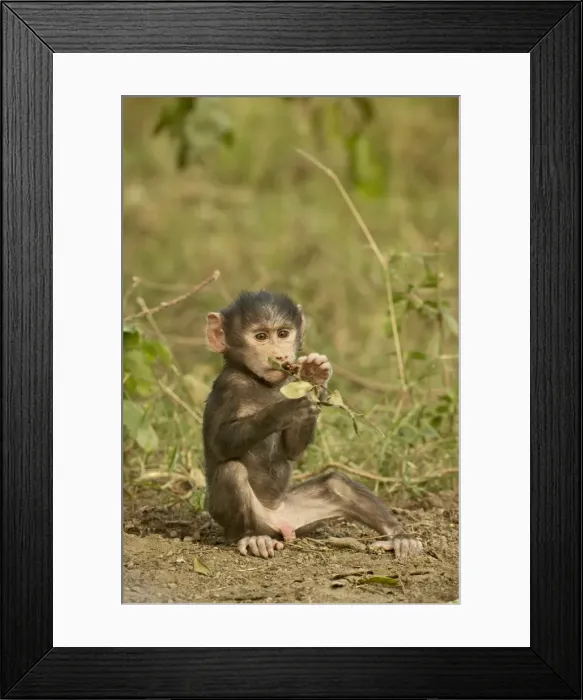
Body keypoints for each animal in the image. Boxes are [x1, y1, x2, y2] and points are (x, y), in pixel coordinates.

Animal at [202, 290, 422, 559]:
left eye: (283, 334)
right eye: (261, 336)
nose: (279, 355)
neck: (260, 382)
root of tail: (278, 521)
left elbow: (292, 450)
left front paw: (314, 375)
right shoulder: (228, 387)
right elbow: (220, 443)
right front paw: (288, 406)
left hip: (299, 514)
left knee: (337, 485)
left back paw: (399, 536)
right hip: (243, 519)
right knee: (232, 471)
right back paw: (252, 538)